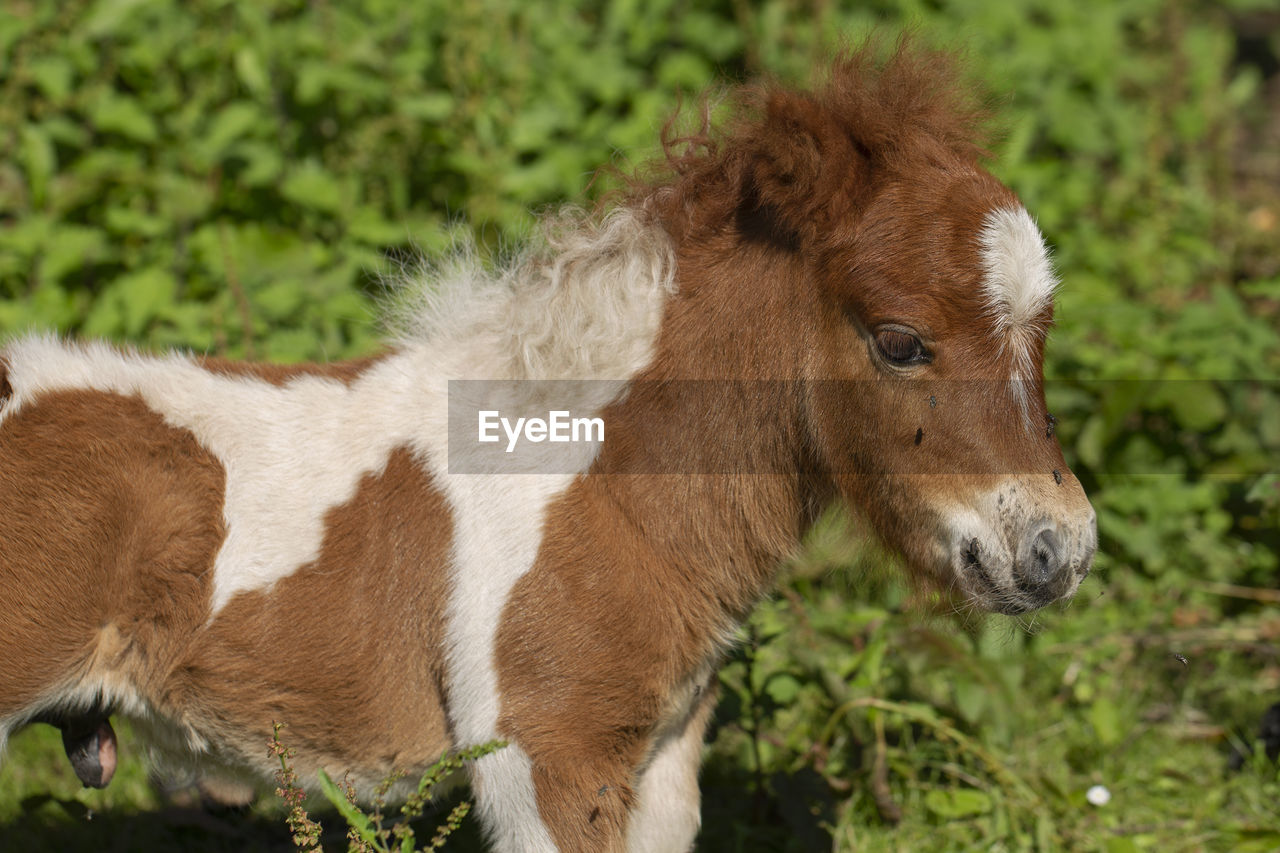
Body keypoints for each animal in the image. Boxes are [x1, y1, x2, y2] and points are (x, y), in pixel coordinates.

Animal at [0, 43, 1100, 845]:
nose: (1057, 551)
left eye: (1040, 334)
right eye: (899, 339)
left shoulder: (659, 754)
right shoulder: (545, 755)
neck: (605, 478)